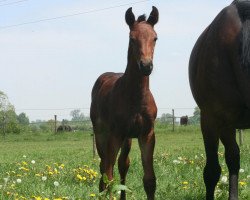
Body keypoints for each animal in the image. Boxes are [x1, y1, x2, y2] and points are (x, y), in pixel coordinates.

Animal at [91, 6, 159, 200]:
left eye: (155, 38)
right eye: (132, 38)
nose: (146, 66)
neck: (136, 97)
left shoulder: (147, 134)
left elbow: (149, 179)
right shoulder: (115, 134)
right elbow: (109, 177)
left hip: (127, 139)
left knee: (123, 164)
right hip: (101, 134)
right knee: (104, 167)